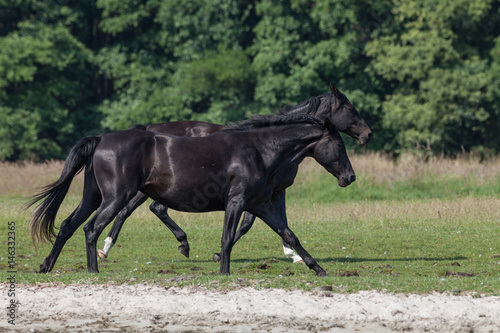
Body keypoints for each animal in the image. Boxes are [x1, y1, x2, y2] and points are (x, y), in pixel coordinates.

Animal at [26, 114, 356, 274]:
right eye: (339, 144)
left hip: (93, 197)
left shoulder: (260, 203)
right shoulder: (237, 202)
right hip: (115, 198)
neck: (258, 150)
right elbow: (227, 238)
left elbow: (289, 234)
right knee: (91, 228)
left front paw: (318, 269)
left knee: (68, 225)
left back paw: (46, 266)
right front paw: (223, 272)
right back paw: (94, 269)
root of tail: (102, 139)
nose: (349, 177)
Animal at [96, 82, 372, 260]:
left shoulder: (272, 192)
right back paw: (108, 248)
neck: (273, 143)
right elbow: (251, 223)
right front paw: (221, 254)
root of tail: (150, 128)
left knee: (142, 209)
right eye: (349, 108)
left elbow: (277, 221)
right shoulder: (263, 192)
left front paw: (291, 252)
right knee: (133, 210)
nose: (368, 134)